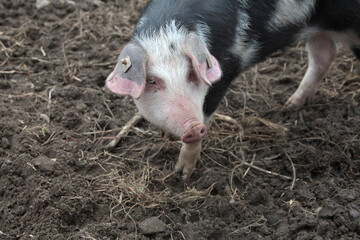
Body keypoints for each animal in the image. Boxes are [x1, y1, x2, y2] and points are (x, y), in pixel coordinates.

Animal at [106, 0, 360, 179]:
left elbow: (206, 113)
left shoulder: (223, 74)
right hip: (318, 31)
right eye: (153, 81)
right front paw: (167, 138)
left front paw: (182, 174)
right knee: (325, 55)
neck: (164, 31)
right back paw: (290, 105)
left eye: (191, 73)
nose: (193, 126)